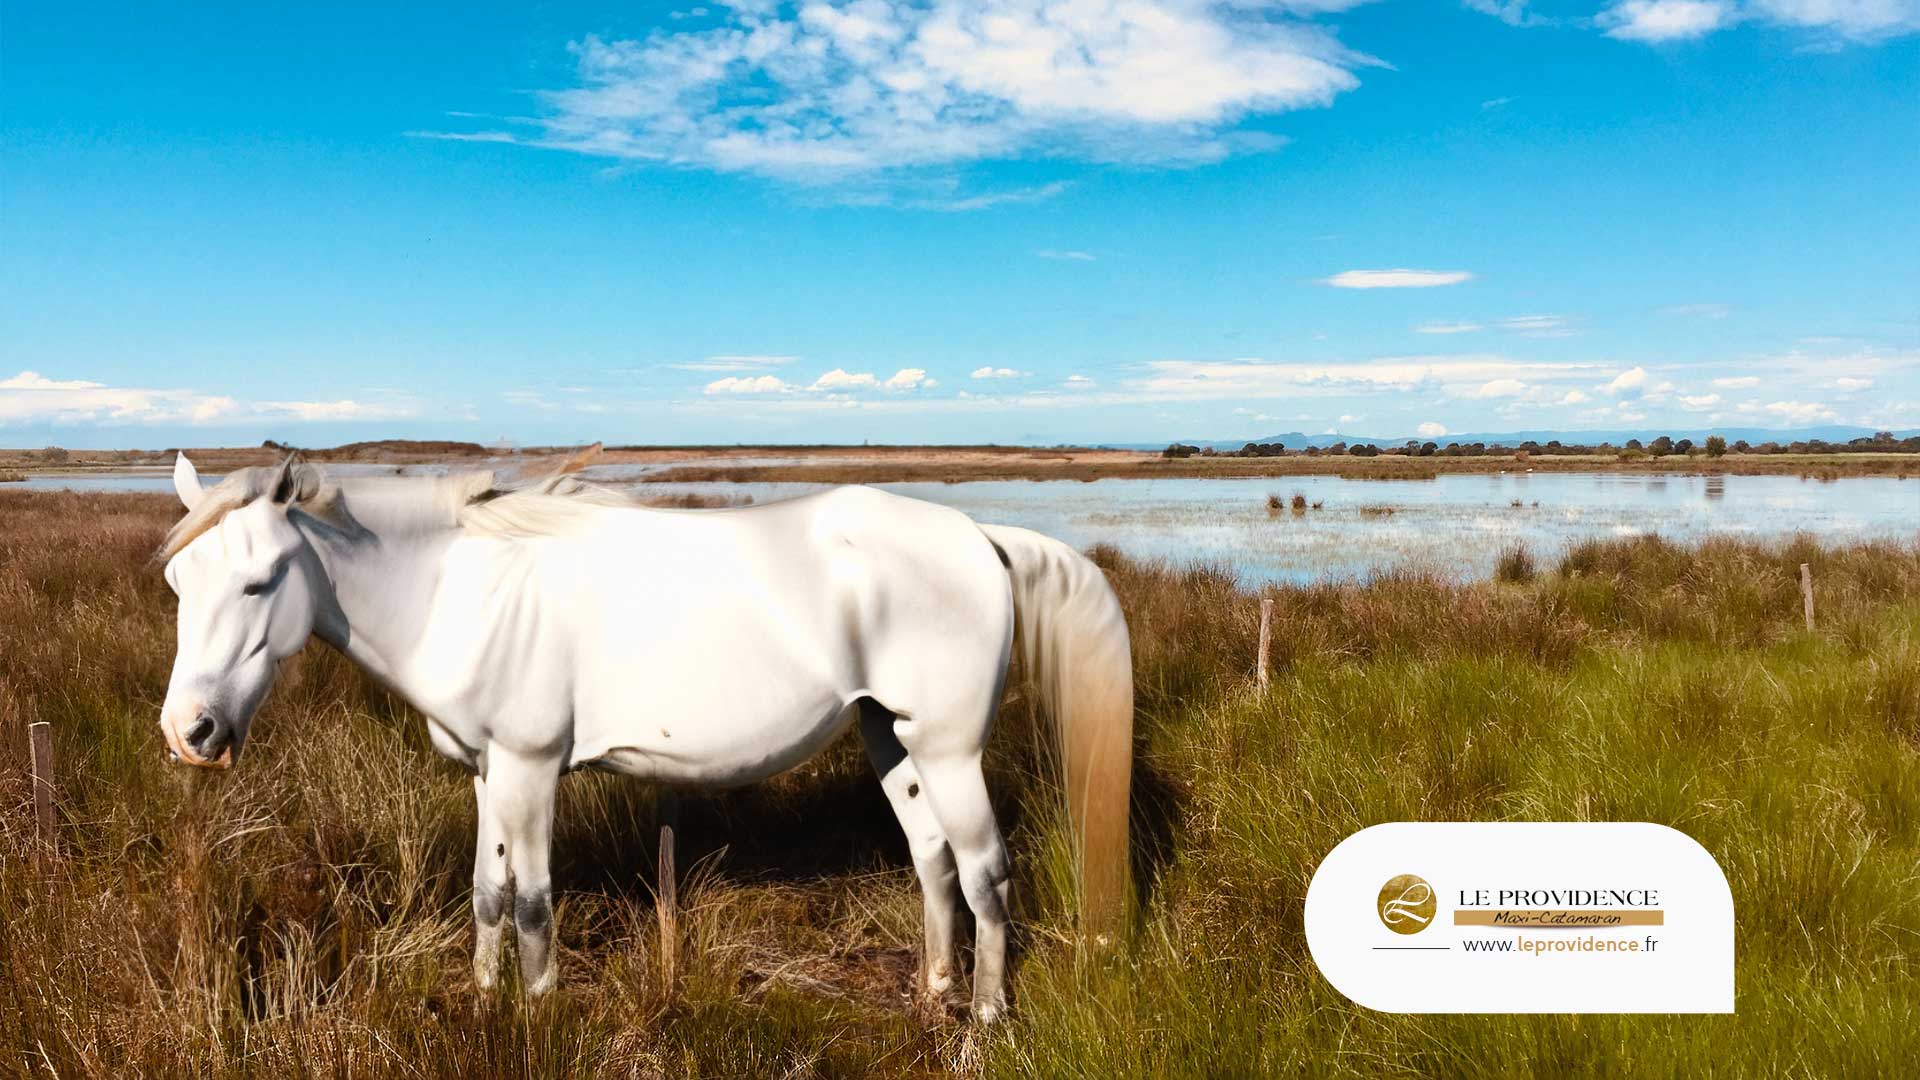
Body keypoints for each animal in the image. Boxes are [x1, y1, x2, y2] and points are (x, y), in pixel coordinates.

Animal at [155, 453, 1133, 1021]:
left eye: (259, 580)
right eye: (177, 583)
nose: (189, 733)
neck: (465, 590)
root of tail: (978, 536)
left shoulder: (530, 768)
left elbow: (534, 903)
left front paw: (539, 1015)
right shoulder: (487, 773)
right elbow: (487, 893)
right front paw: (484, 1002)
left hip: (950, 750)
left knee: (986, 872)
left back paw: (985, 1022)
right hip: (890, 740)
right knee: (934, 863)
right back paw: (933, 996)